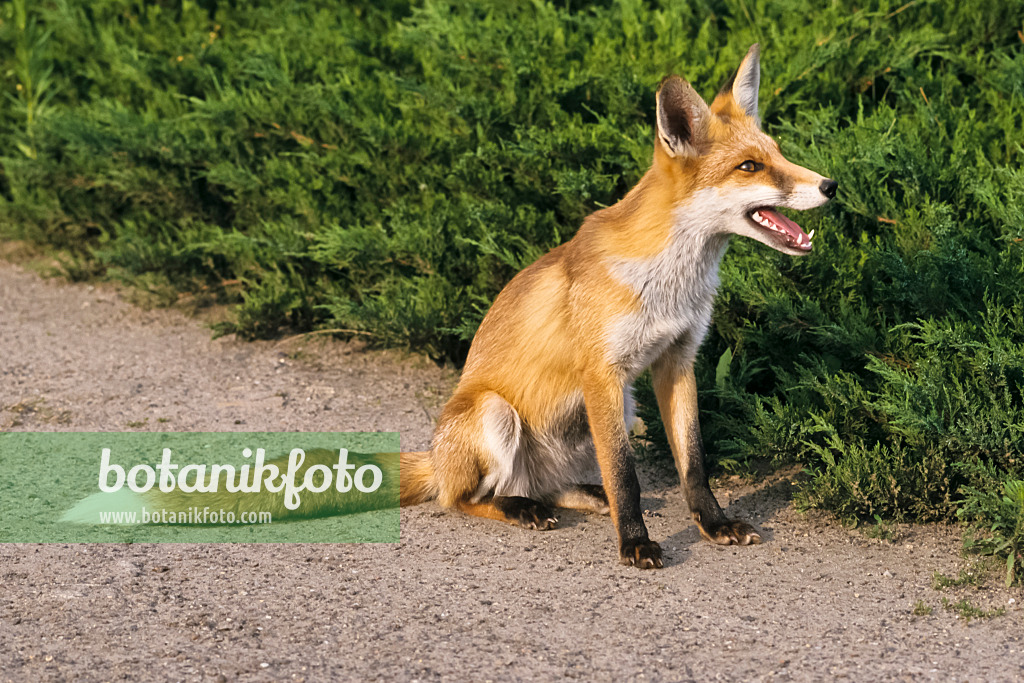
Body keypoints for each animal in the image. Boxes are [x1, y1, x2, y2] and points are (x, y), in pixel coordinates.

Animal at [395, 45, 835, 569]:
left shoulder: (677, 361)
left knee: (551, 487)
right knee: (465, 498)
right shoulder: (601, 372)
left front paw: (714, 524)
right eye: (749, 166)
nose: (831, 184)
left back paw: (576, 496)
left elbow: (693, 464)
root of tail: (435, 458)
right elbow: (625, 475)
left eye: (779, 154)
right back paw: (521, 509)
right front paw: (635, 543)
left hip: (621, 407)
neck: (668, 283)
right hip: (498, 413)